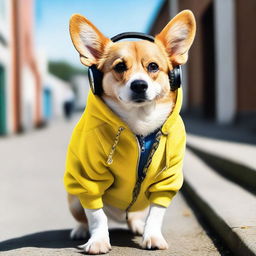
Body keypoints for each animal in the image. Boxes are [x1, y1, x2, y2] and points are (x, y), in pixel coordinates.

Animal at [64, 9, 196, 254]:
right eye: (119, 67)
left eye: (153, 66)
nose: (139, 85)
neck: (140, 124)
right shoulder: (89, 181)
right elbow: (96, 216)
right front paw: (98, 240)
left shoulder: (166, 181)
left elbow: (156, 214)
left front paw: (152, 236)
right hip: (74, 198)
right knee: (86, 217)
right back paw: (81, 230)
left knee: (135, 215)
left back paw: (136, 225)